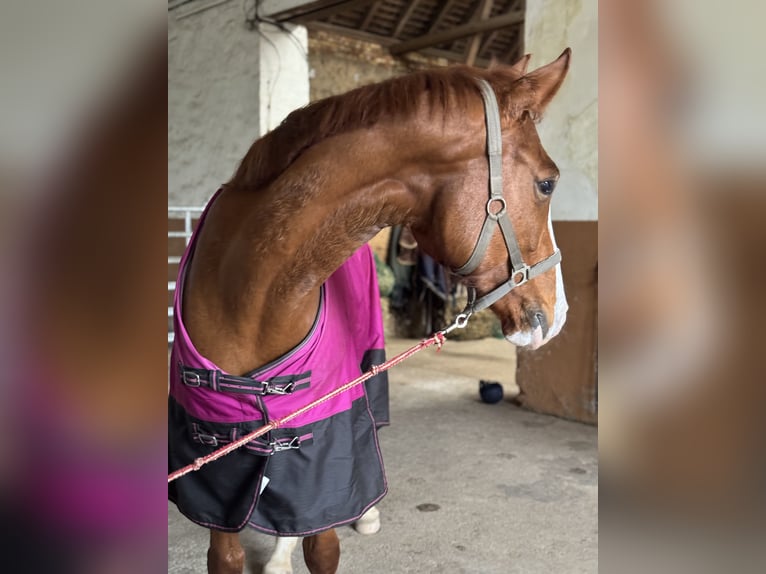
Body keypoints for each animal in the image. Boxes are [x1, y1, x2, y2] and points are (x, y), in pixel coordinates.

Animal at [168, 48, 571, 574]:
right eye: (546, 183)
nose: (558, 315)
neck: (248, 301)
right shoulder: (214, 481)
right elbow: (230, 553)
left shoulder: (330, 466)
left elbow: (323, 544)